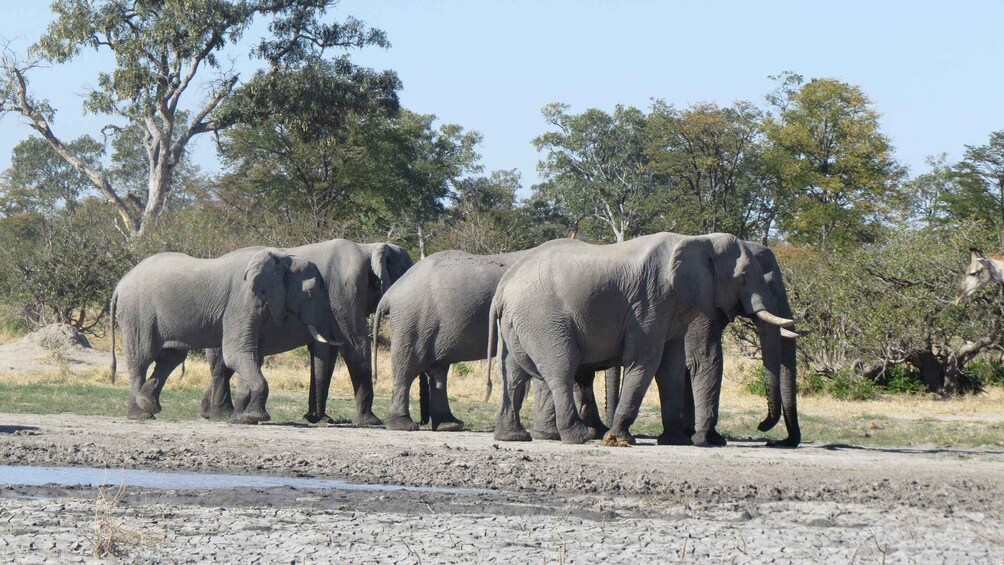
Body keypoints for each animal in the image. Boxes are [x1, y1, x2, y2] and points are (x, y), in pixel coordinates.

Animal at [110, 249, 344, 423]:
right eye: (311, 292)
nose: (311, 417)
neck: (282, 258)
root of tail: (119, 284)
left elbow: (252, 355)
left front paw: (242, 418)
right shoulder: (241, 300)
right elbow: (236, 353)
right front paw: (256, 417)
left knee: (171, 358)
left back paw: (148, 405)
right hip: (137, 313)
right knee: (142, 358)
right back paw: (140, 415)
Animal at [201, 240, 414, 426]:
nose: (310, 417)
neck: (368, 248)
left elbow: (330, 352)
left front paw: (323, 418)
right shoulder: (345, 292)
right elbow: (355, 345)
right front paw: (371, 422)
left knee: (226, 365)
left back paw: (212, 413)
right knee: (223, 365)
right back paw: (222, 414)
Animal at [488, 232, 795, 445]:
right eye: (742, 277)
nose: (765, 431)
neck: (697, 240)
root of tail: (503, 287)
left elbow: (671, 366)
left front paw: (675, 441)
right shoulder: (651, 301)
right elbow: (649, 362)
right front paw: (619, 439)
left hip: (520, 323)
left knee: (514, 374)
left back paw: (512, 437)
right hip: (543, 318)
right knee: (561, 369)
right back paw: (580, 437)